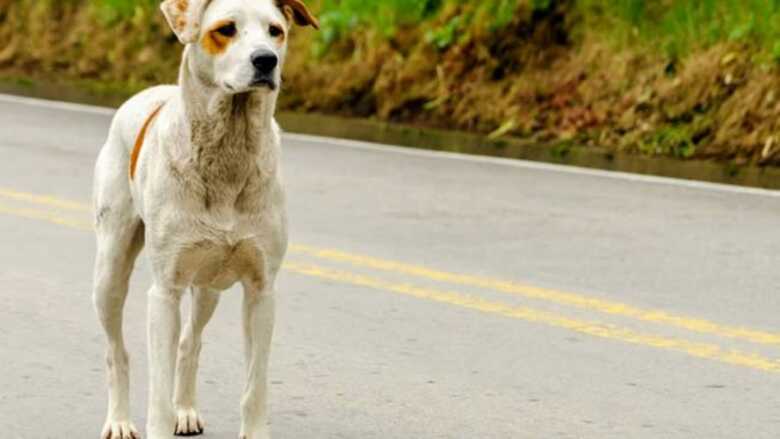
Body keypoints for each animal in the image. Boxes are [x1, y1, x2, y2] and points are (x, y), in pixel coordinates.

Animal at [93, 1, 318, 438]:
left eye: (276, 31)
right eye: (225, 29)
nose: (266, 60)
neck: (230, 148)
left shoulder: (262, 291)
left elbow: (255, 385)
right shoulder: (164, 293)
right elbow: (157, 393)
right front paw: (157, 423)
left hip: (209, 287)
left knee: (189, 343)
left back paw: (185, 409)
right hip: (109, 272)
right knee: (117, 352)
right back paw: (119, 420)